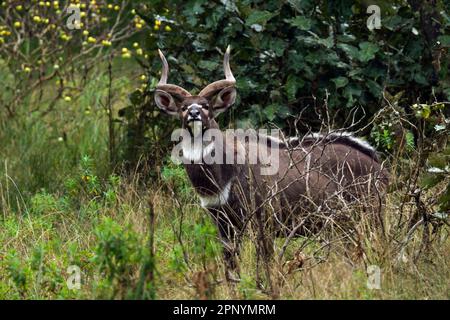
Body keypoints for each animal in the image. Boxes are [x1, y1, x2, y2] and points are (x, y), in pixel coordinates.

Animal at [154, 45, 386, 280]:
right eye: (183, 107)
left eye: (206, 106)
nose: (194, 113)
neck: (225, 174)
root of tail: (378, 164)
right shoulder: (223, 223)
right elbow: (231, 267)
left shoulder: (263, 220)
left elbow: (265, 264)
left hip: (368, 217)